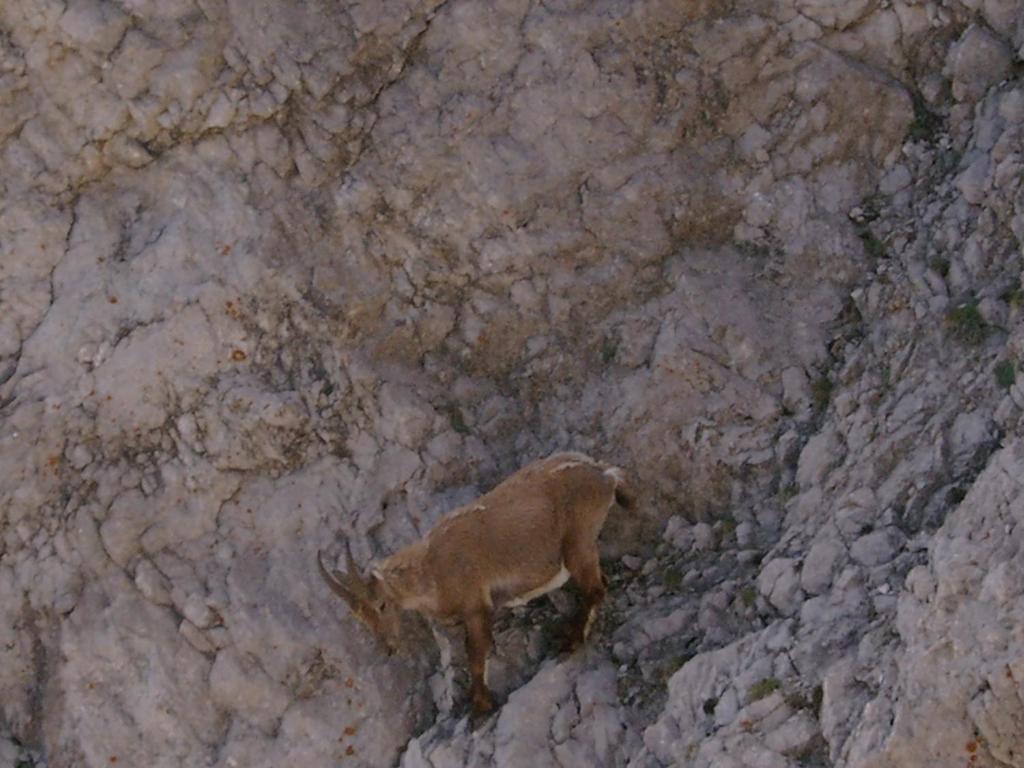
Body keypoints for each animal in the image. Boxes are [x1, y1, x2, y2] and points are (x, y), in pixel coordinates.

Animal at [317, 454, 630, 720]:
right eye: (360, 617)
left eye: (381, 604)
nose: (389, 648)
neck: (432, 569)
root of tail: (604, 473)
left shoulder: (476, 607)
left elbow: (475, 654)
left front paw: (480, 707)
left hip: (578, 543)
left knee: (595, 589)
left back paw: (570, 642)